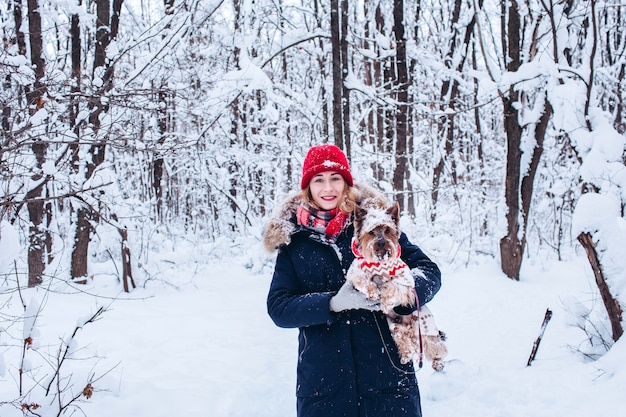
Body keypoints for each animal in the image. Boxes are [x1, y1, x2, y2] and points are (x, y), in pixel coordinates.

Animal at [346, 199, 444, 370]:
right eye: (371, 232)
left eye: (387, 230)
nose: (381, 243)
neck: (379, 261)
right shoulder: (356, 271)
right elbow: (363, 281)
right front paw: (373, 292)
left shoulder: (405, 279)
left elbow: (393, 286)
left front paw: (385, 301)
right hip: (395, 326)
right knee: (404, 340)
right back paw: (405, 356)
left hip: (423, 327)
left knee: (435, 345)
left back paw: (438, 362)